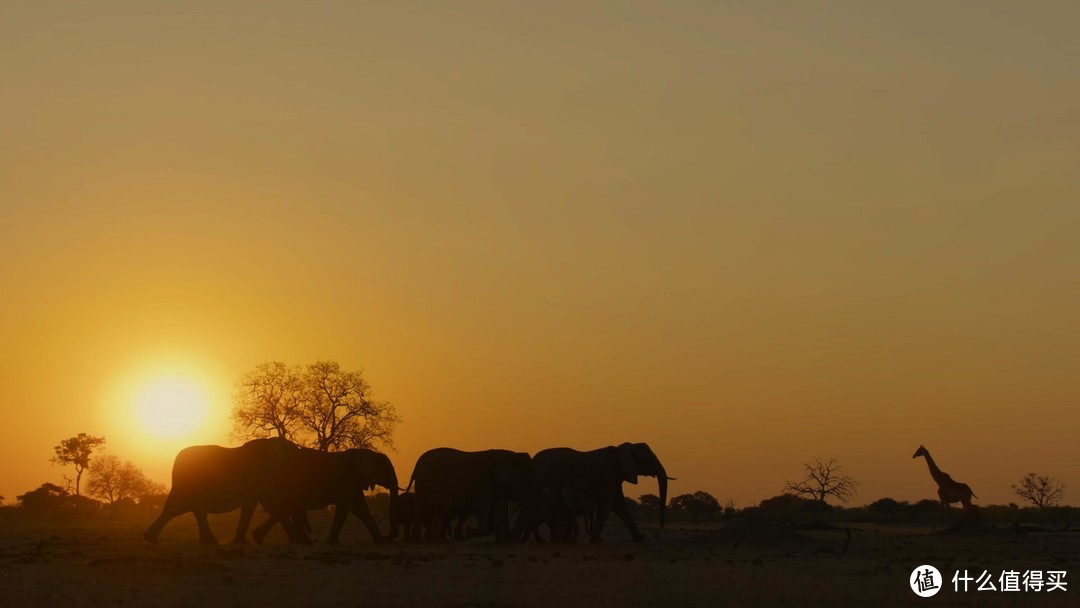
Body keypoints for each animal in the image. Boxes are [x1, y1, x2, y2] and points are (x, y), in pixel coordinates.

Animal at [250, 447, 399, 546]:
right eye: (387, 470)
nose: (390, 537)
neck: (368, 453)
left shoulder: (354, 482)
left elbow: (360, 510)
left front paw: (379, 541)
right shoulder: (348, 478)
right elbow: (345, 508)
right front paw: (333, 542)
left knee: (289, 508)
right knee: (287, 507)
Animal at [406, 447, 537, 542]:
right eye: (530, 470)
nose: (512, 539)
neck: (511, 453)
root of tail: (417, 466)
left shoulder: (496, 484)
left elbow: (499, 508)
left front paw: (500, 542)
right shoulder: (485, 482)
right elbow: (482, 506)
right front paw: (468, 532)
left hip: (422, 484)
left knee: (421, 508)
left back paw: (419, 540)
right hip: (433, 482)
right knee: (443, 506)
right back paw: (435, 540)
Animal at [533, 442, 669, 542]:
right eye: (650, 459)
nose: (661, 527)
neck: (623, 448)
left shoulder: (614, 479)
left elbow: (619, 506)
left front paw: (640, 538)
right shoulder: (608, 476)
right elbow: (607, 504)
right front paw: (596, 540)